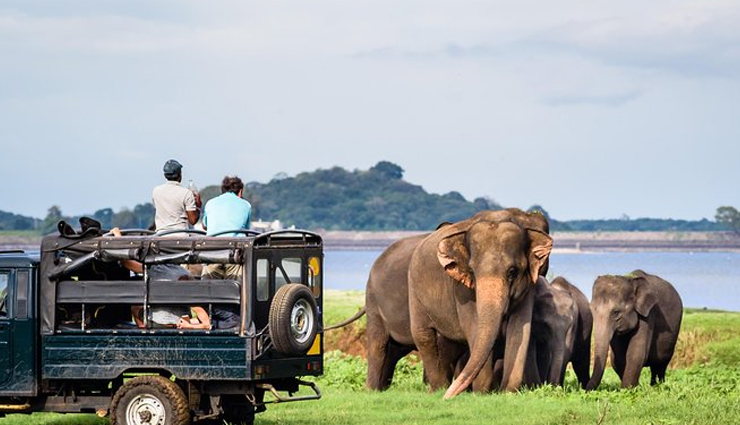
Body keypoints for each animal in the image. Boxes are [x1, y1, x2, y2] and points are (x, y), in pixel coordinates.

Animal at [408, 213, 553, 398]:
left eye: (512, 271)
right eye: (472, 271)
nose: (447, 397)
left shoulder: (528, 286)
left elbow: (520, 329)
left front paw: (506, 392)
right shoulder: (462, 290)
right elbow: (474, 328)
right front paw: (481, 393)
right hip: (414, 292)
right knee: (423, 335)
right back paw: (438, 389)